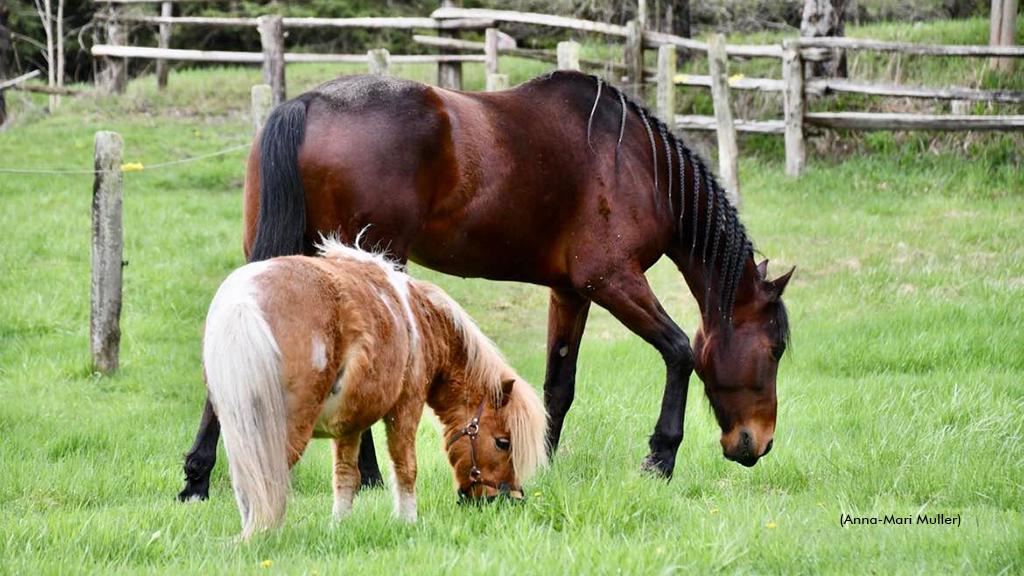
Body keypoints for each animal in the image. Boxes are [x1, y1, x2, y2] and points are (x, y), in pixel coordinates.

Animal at [182, 70, 790, 502]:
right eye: (775, 349)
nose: (758, 445)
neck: (639, 165)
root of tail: (305, 104)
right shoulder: (612, 280)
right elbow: (681, 351)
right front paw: (660, 458)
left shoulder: (571, 293)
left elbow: (558, 386)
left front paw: (539, 461)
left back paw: (200, 477)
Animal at [202, 236, 548, 532]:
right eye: (503, 442)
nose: (508, 500)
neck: (420, 320)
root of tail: (244, 301)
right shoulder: (406, 407)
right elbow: (406, 467)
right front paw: (408, 521)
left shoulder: (349, 426)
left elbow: (345, 476)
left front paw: (339, 525)